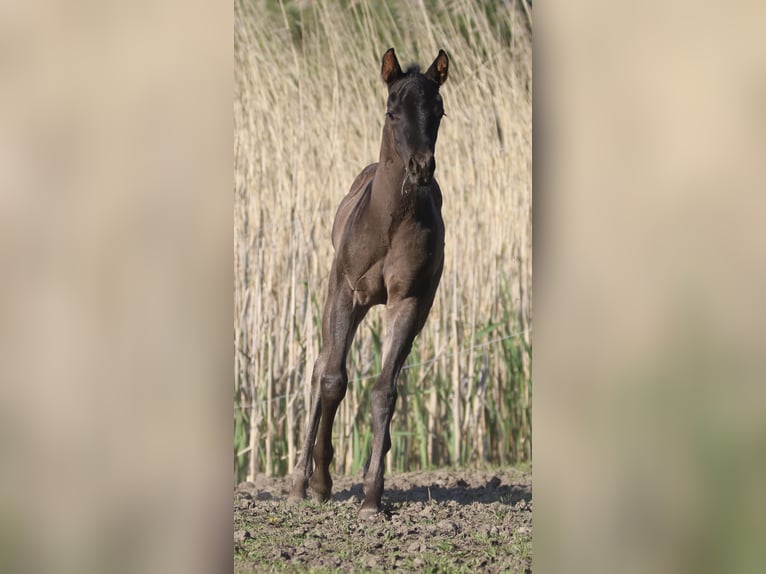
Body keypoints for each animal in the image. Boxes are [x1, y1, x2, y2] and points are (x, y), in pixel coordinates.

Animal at [292, 47, 452, 520]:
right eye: (391, 111)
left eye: (438, 110)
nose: (420, 168)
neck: (389, 221)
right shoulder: (345, 293)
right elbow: (332, 379)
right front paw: (321, 482)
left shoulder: (409, 301)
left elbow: (384, 391)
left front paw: (371, 495)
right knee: (319, 367)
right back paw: (297, 483)